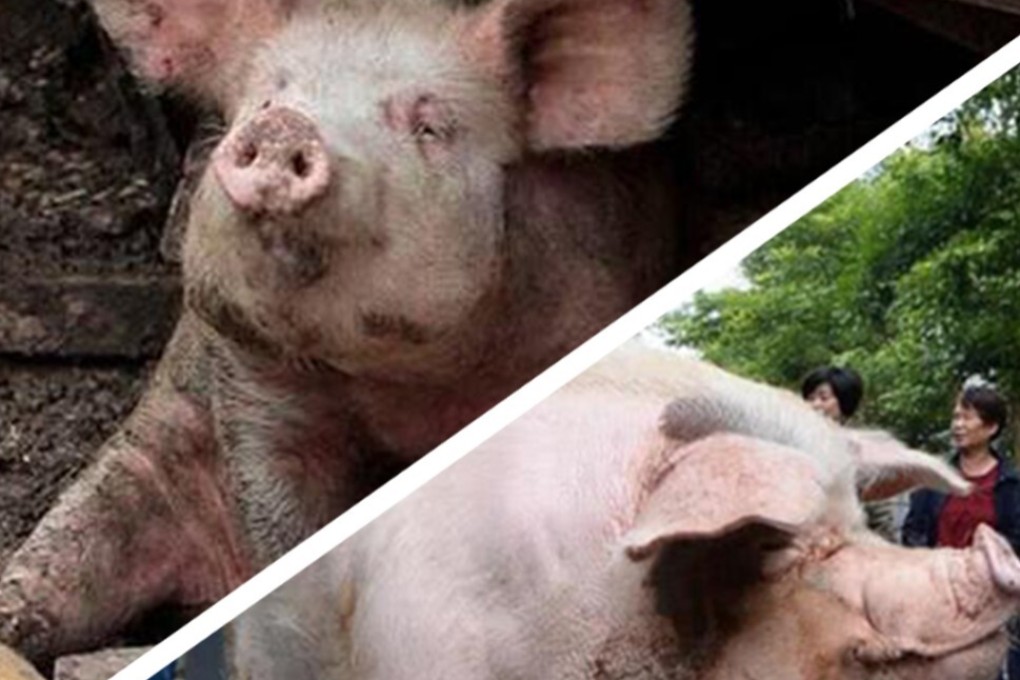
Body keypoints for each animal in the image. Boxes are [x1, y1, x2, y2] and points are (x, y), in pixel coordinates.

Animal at [0, 0, 694, 668]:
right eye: (265, 98)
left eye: (429, 126)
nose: (285, 127)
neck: (405, 386)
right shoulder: (251, 380)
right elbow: (280, 512)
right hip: (142, 465)